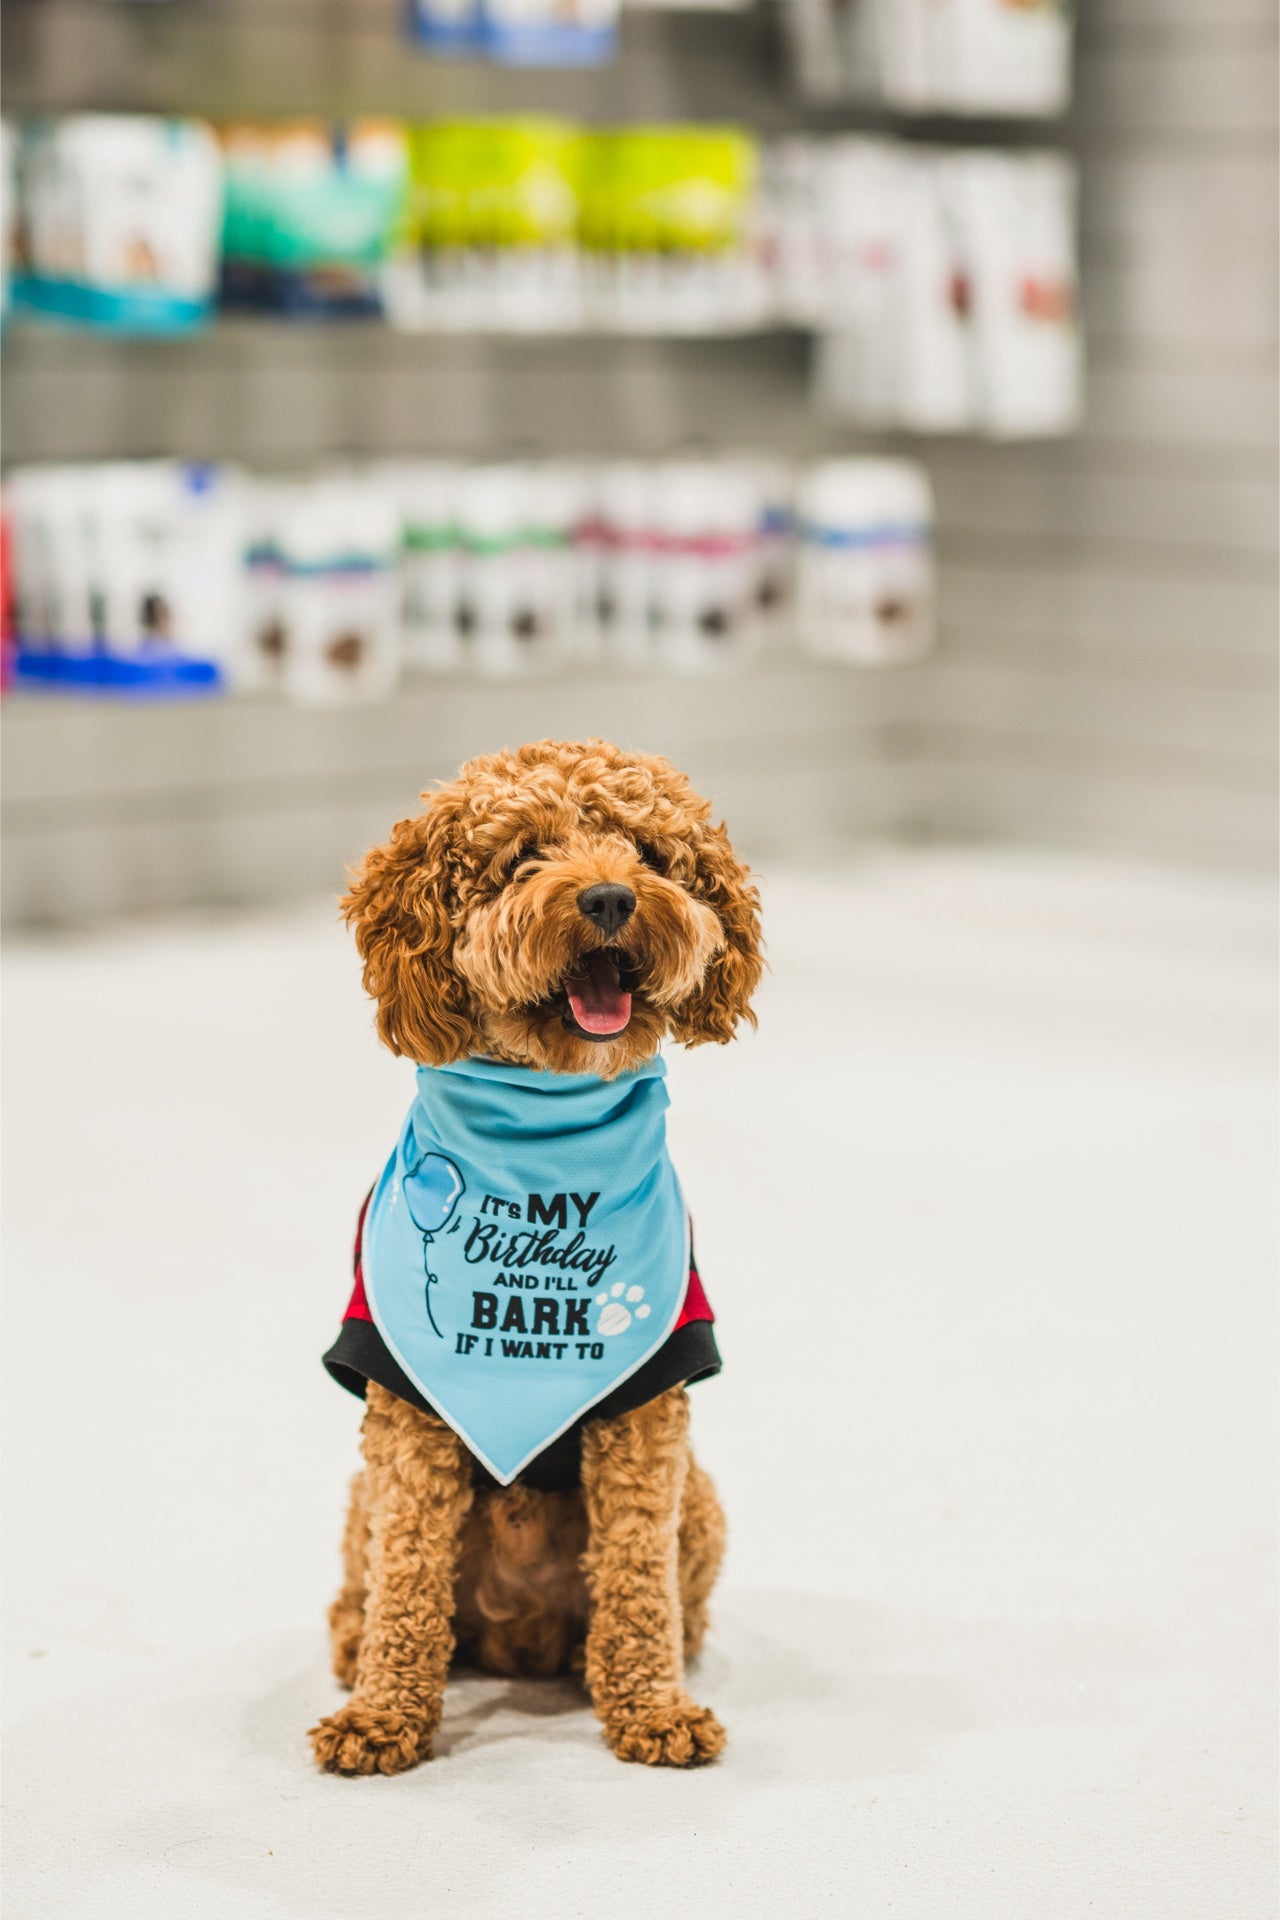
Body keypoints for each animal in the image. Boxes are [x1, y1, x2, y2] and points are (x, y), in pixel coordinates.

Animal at [308, 733, 759, 1766]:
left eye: (648, 852)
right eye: (523, 857)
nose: (611, 899)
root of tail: (521, 1637)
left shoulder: (649, 1412)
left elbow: (635, 1576)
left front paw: (652, 1710)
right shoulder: (406, 1414)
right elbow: (407, 1575)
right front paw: (383, 1717)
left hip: (703, 1503)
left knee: (669, 1602)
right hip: (359, 1496)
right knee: (369, 1585)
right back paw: (354, 1649)